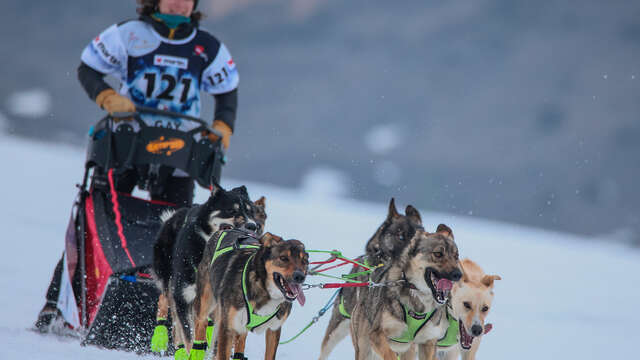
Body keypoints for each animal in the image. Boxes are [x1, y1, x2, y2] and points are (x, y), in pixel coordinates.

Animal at [150, 186, 264, 354]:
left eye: (251, 213)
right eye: (231, 210)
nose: (252, 226)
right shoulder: (182, 297)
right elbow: (188, 335)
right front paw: (189, 352)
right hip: (170, 283)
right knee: (169, 309)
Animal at [178, 231, 310, 360]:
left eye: (304, 261)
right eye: (283, 258)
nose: (300, 276)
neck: (263, 290)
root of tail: (226, 229)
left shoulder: (274, 329)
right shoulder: (227, 328)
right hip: (205, 303)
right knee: (202, 324)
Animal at [348, 225, 462, 360]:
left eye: (456, 256)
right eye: (438, 254)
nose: (458, 274)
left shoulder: (428, 342)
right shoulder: (376, 334)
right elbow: (390, 355)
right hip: (365, 350)